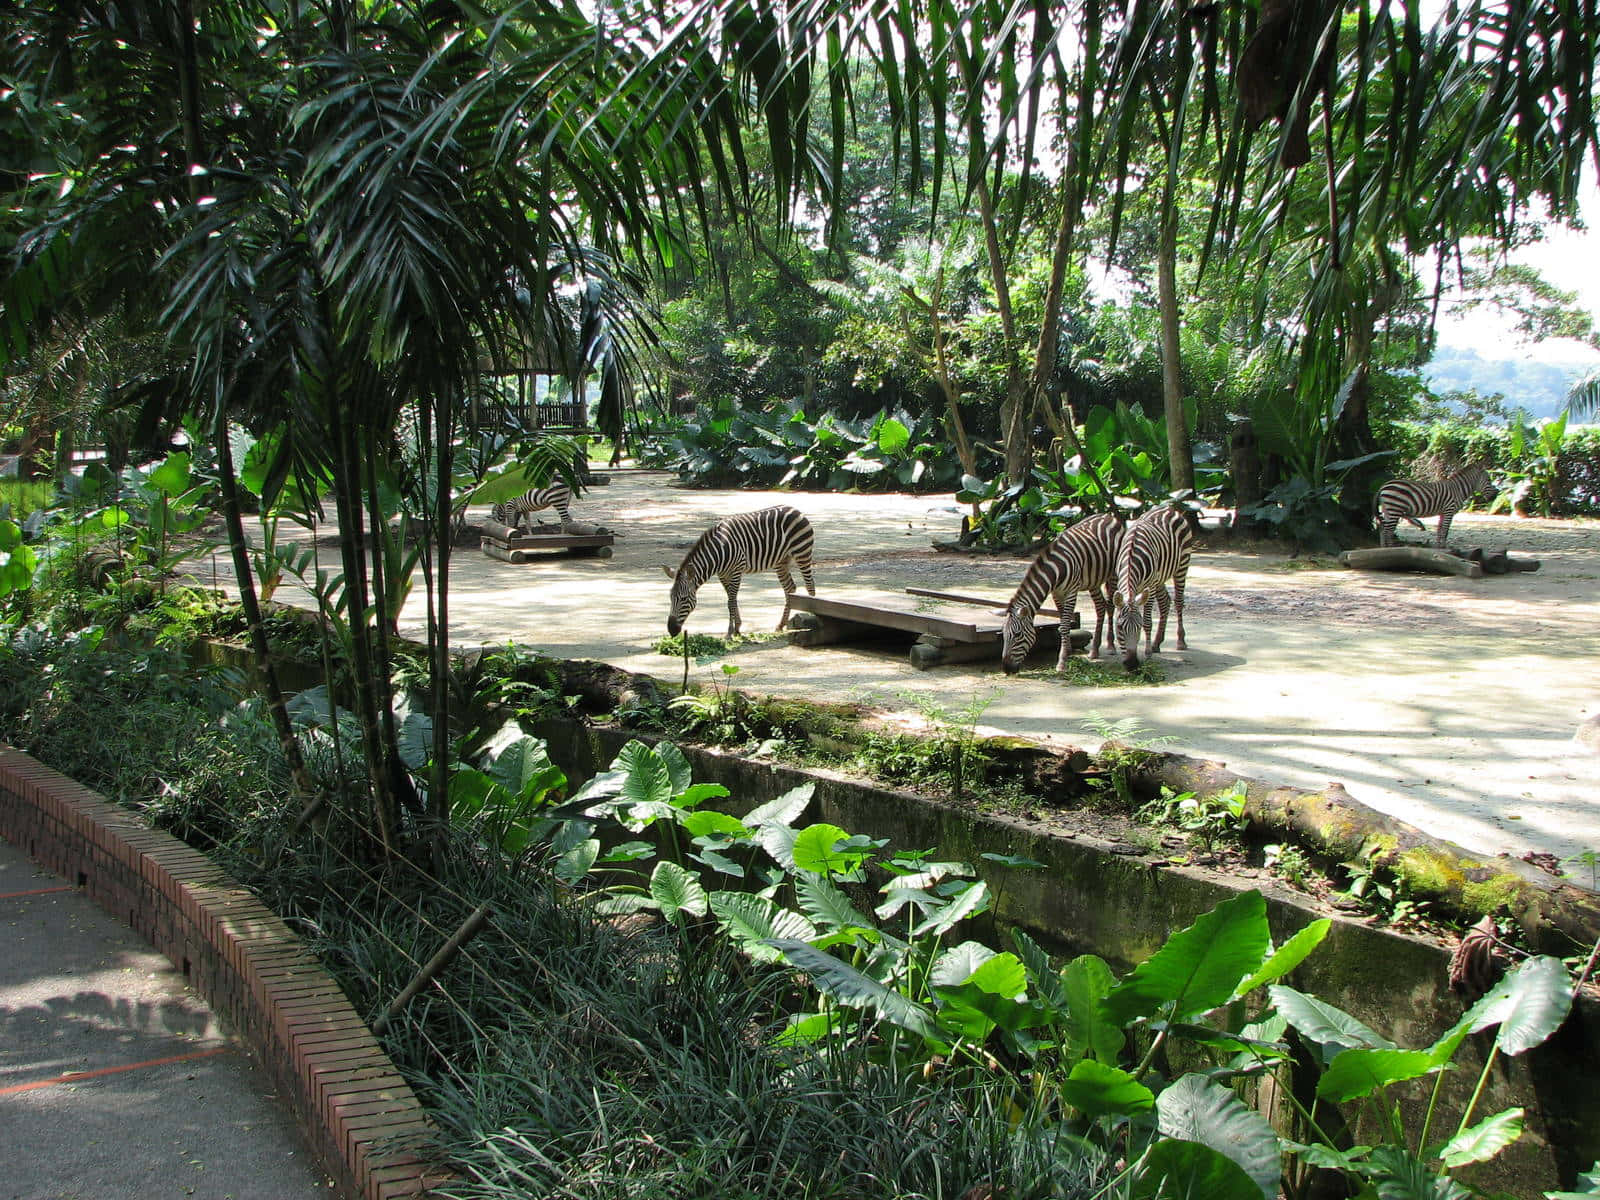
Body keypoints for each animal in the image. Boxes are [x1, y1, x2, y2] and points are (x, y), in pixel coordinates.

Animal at [662, 505, 812, 640]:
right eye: (670, 598)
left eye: (684, 599)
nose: (671, 630)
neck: (719, 550)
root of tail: (794, 509)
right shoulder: (723, 575)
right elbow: (731, 599)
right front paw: (737, 628)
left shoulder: (736, 571)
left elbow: (731, 602)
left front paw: (730, 632)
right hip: (781, 561)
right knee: (789, 588)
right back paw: (781, 625)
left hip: (802, 553)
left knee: (810, 586)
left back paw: (812, 616)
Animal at [998, 512, 1126, 672]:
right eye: (1003, 635)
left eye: (1017, 634)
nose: (1006, 669)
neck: (1055, 570)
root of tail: (1108, 515)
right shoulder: (1056, 593)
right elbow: (1063, 621)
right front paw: (1068, 651)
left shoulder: (1071, 591)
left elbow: (1064, 625)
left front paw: (1062, 661)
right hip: (1093, 580)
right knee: (1100, 607)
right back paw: (1095, 650)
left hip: (1113, 573)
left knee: (1110, 606)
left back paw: (1110, 645)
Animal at [1120, 508, 1196, 678]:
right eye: (1120, 627)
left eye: (1139, 627)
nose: (1131, 665)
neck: (1132, 557)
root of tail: (1169, 508)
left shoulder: (1150, 585)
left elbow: (1148, 621)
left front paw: (1147, 653)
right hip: (1160, 577)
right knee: (1165, 601)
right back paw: (1157, 643)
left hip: (1182, 565)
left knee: (1179, 601)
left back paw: (1180, 641)